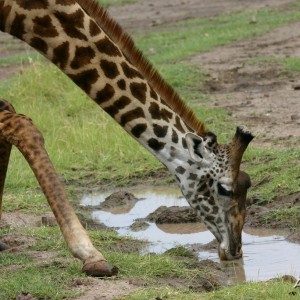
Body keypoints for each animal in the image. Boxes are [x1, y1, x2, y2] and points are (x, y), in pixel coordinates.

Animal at [0, 0, 253, 276]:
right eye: (225, 189)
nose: (235, 250)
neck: (24, 12)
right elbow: (22, 124)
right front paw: (91, 255)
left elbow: (7, 109)